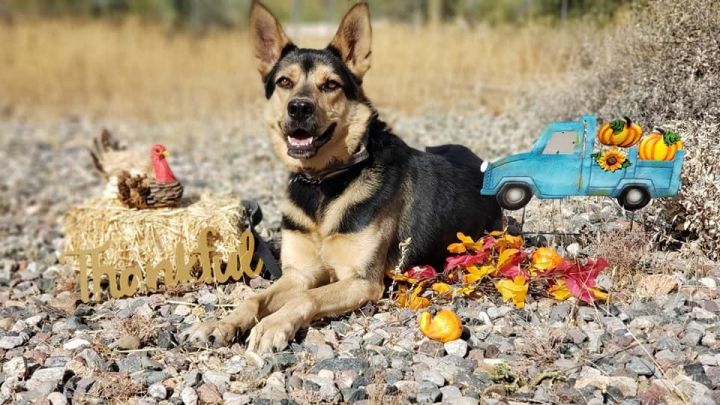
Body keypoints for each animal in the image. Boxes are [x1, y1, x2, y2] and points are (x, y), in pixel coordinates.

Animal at [183, 1, 504, 352]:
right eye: (284, 82)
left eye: (330, 85)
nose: (299, 108)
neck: (323, 183)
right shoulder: (298, 274)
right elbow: (254, 299)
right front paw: (221, 323)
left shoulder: (361, 281)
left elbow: (306, 299)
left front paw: (272, 326)